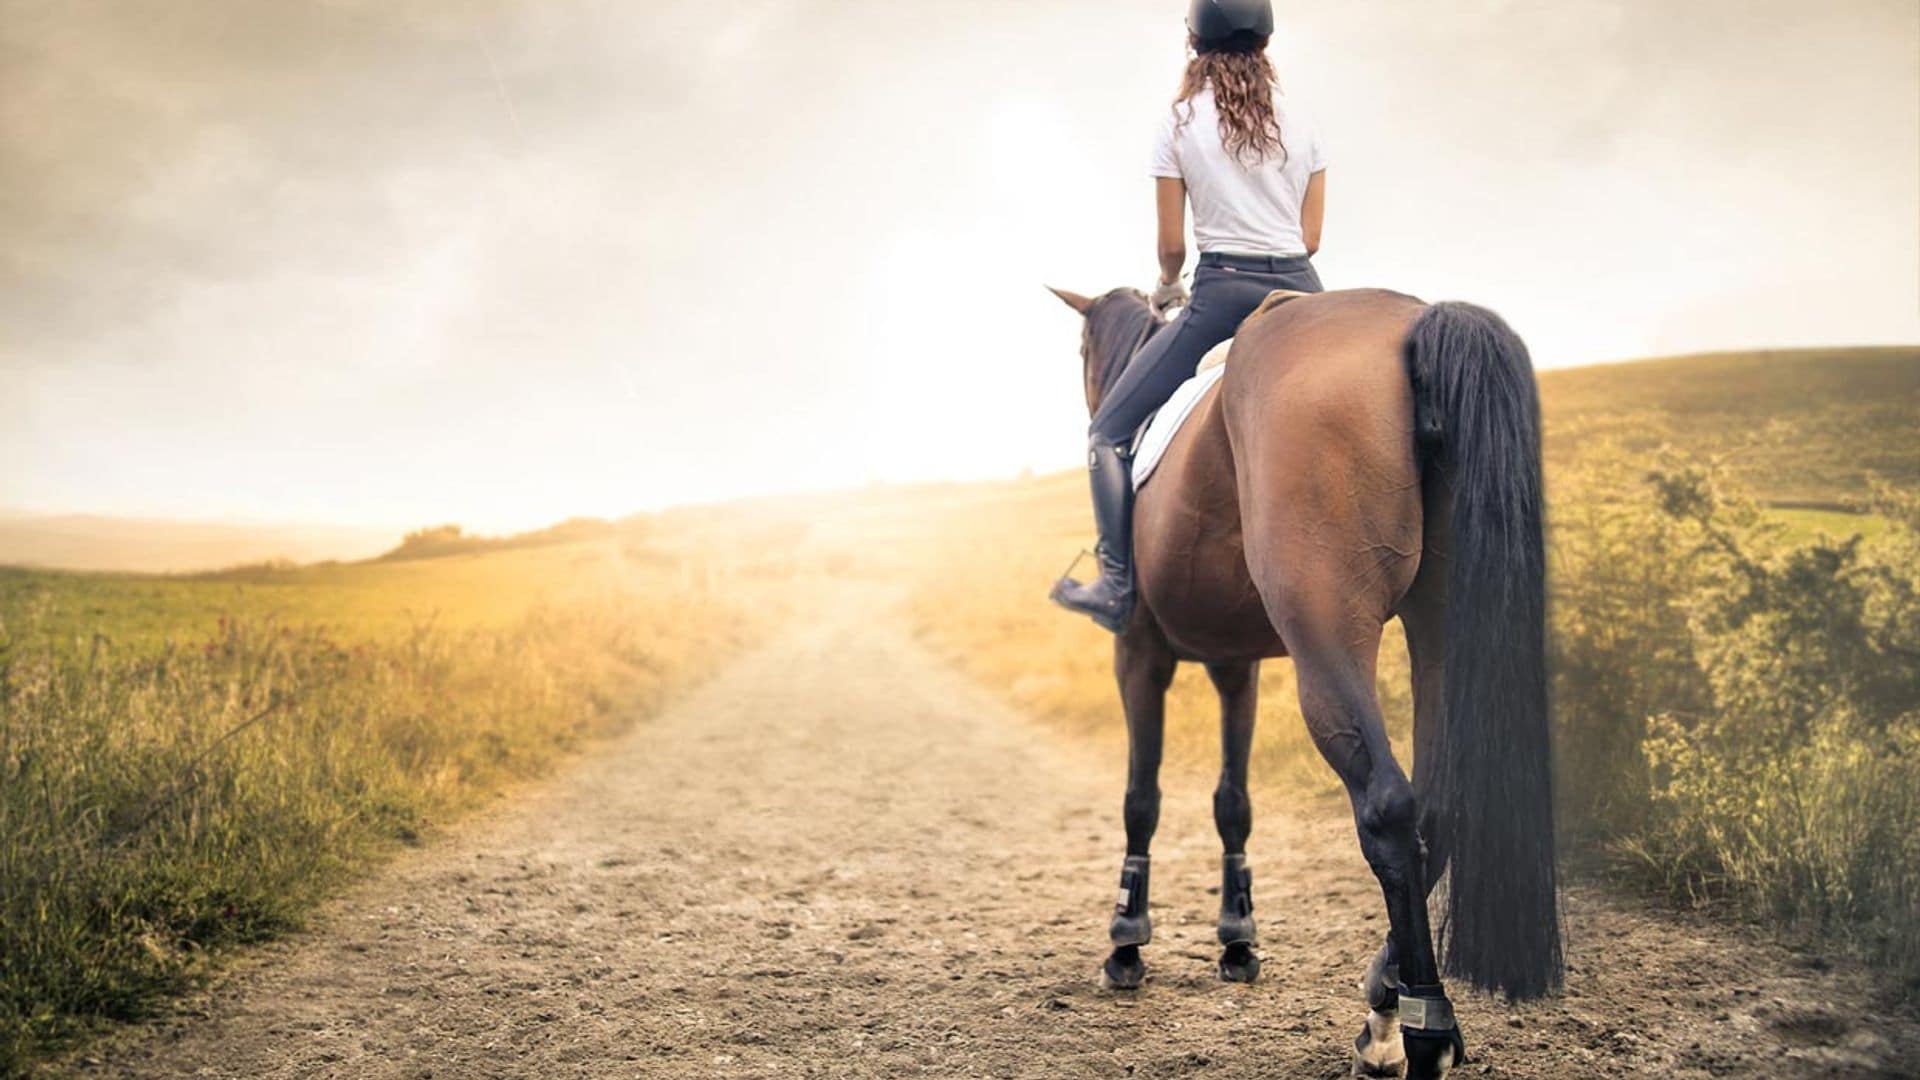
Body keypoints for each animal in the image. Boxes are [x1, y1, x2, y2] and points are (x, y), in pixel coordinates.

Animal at [1052, 286, 1559, 1076]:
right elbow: (1233, 802)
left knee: (1388, 808)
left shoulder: (1138, 656)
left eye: (1081, 350)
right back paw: (1383, 1004)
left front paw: (1127, 939)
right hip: (1441, 619)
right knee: (1439, 806)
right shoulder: (1237, 666)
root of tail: (1415, 322)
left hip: (1329, 634)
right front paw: (1236, 936)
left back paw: (1419, 1026)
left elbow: (1142, 798)